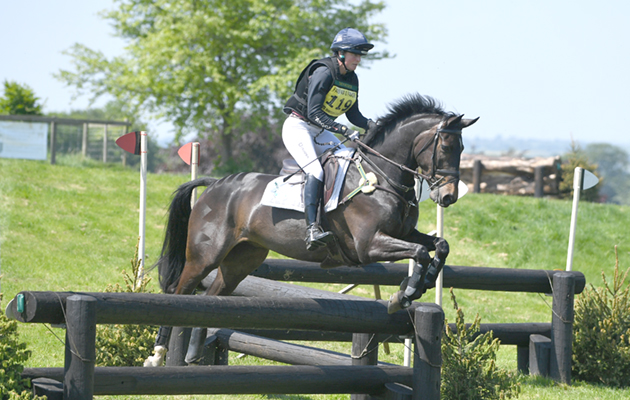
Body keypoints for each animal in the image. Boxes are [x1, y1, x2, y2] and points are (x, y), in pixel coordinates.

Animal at [144, 94, 478, 366]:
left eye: (462, 147)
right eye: (446, 146)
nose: (448, 197)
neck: (381, 177)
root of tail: (214, 184)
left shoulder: (404, 234)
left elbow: (439, 245)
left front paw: (425, 281)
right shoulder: (368, 246)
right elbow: (420, 251)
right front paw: (405, 293)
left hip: (242, 258)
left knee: (211, 298)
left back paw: (192, 354)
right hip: (204, 256)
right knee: (178, 292)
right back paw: (157, 355)